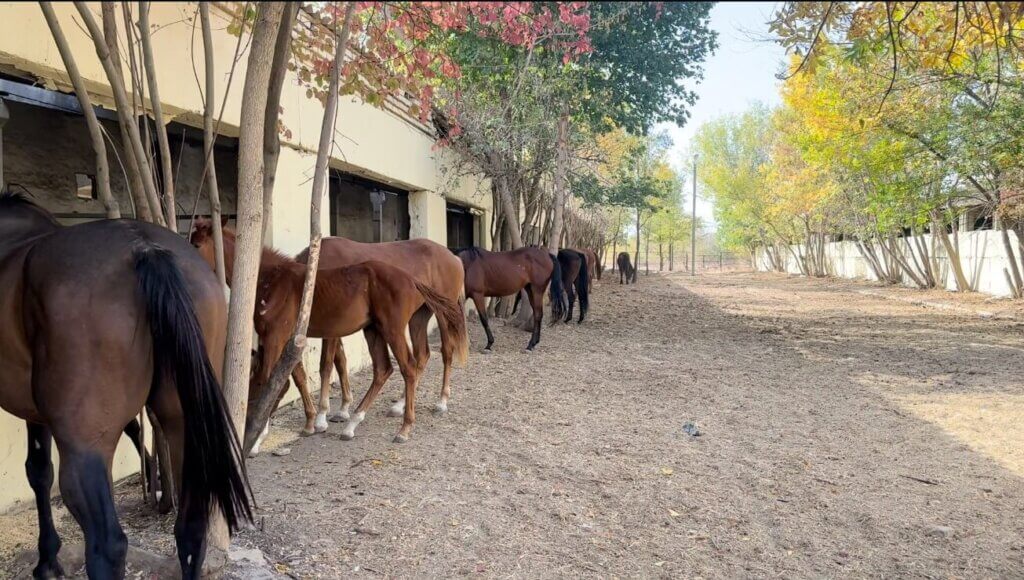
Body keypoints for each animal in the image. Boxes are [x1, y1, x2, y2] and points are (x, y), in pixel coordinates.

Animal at [1, 194, 249, 580]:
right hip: (185, 427)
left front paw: (47, 560)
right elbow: (40, 471)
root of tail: (143, 248)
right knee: (192, 529)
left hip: (84, 449)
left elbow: (38, 472)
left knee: (107, 545)